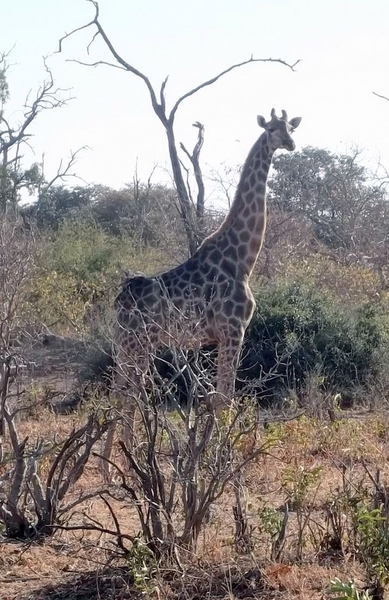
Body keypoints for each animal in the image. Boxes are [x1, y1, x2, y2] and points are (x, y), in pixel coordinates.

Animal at [105, 109, 300, 464]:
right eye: (271, 129)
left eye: (291, 127)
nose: (290, 143)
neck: (243, 260)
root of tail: (119, 300)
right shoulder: (233, 330)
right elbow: (225, 397)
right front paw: (222, 458)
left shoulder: (222, 336)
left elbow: (220, 396)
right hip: (137, 344)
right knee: (128, 394)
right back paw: (130, 460)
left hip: (126, 345)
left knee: (119, 393)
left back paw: (112, 465)